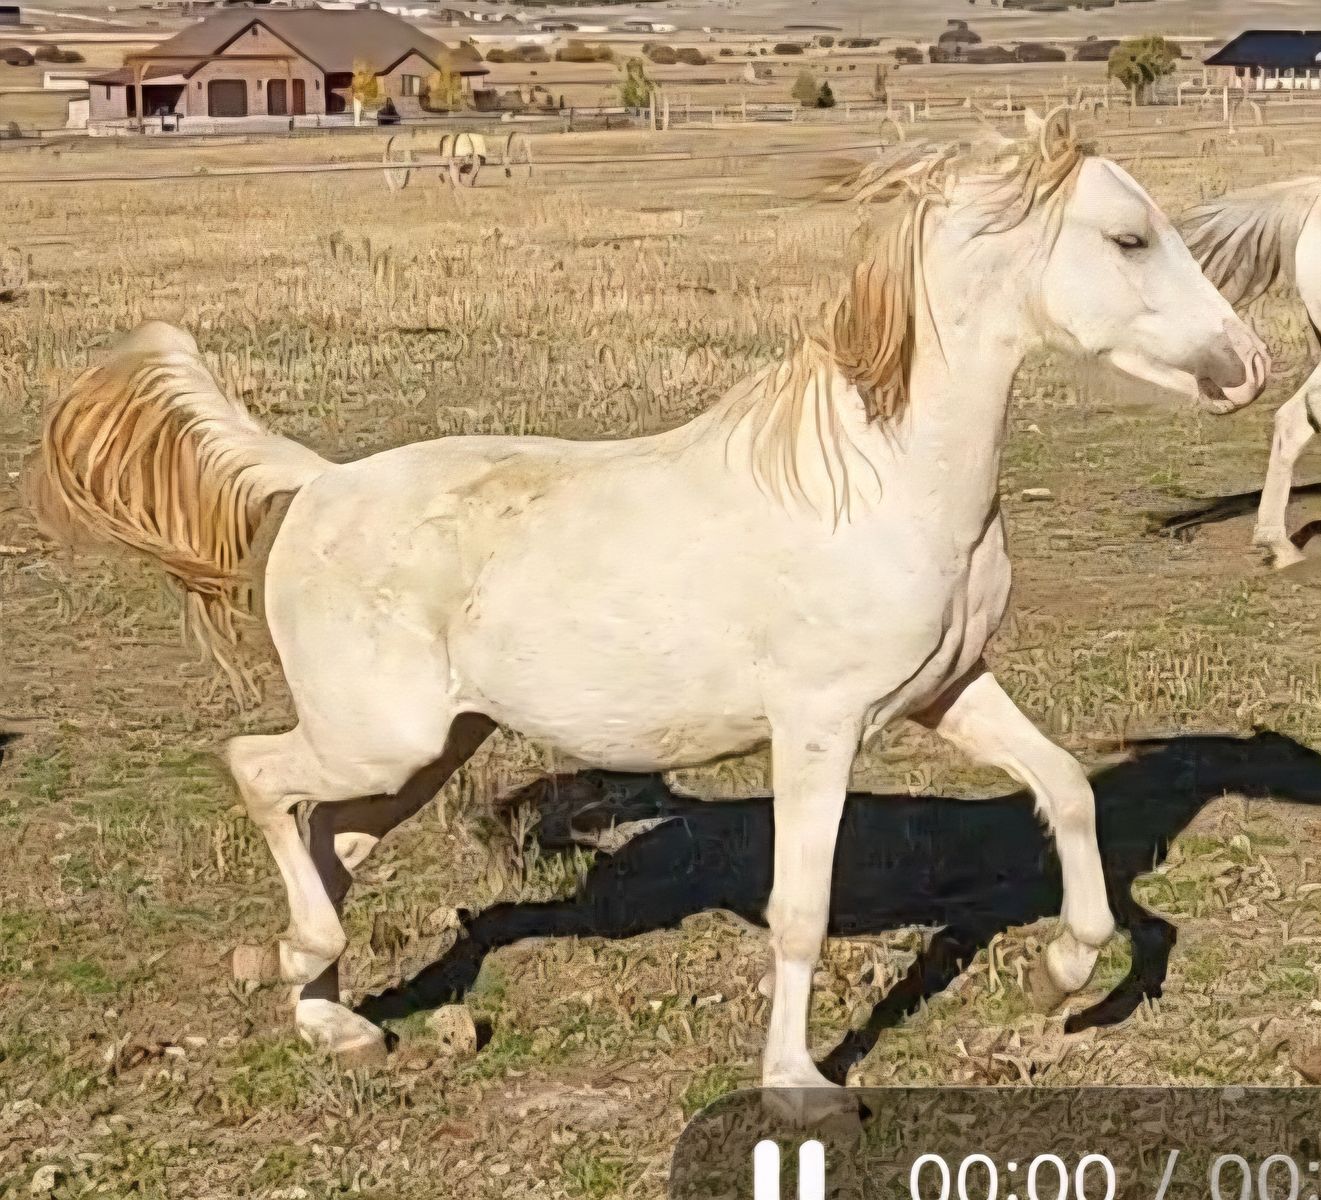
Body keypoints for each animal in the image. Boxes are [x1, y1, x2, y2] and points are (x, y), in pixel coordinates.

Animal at [26, 113, 1268, 1097]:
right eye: (1129, 238)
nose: (1248, 365)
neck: (883, 477)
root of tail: (317, 482)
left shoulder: (946, 692)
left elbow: (1064, 789)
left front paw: (1065, 977)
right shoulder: (817, 728)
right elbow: (800, 908)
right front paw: (797, 1082)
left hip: (421, 753)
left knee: (327, 833)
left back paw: (328, 1012)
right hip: (379, 737)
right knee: (255, 771)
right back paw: (303, 967)